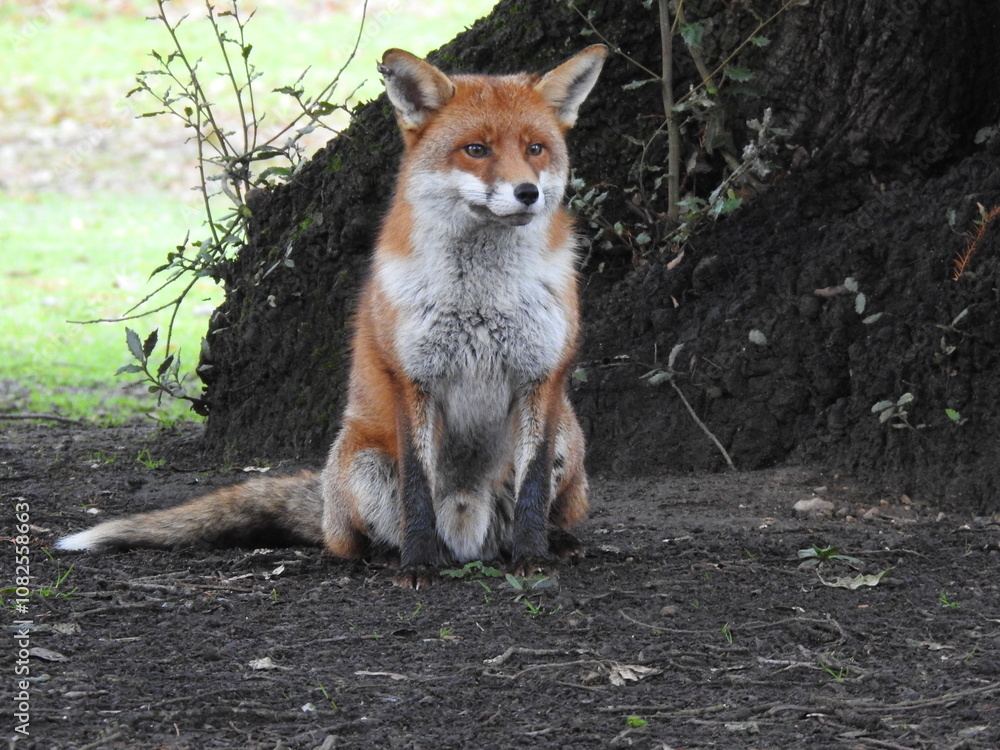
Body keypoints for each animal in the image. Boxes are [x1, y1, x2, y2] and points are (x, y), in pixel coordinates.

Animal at [56, 44, 608, 588]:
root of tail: (470, 538)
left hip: (568, 436)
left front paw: (532, 559)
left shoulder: (542, 376)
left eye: (535, 149)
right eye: (476, 149)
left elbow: (532, 489)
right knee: (352, 543)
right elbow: (417, 489)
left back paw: (554, 544)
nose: (527, 193)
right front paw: (417, 565)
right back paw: (390, 555)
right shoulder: (411, 377)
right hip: (365, 465)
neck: (481, 300)